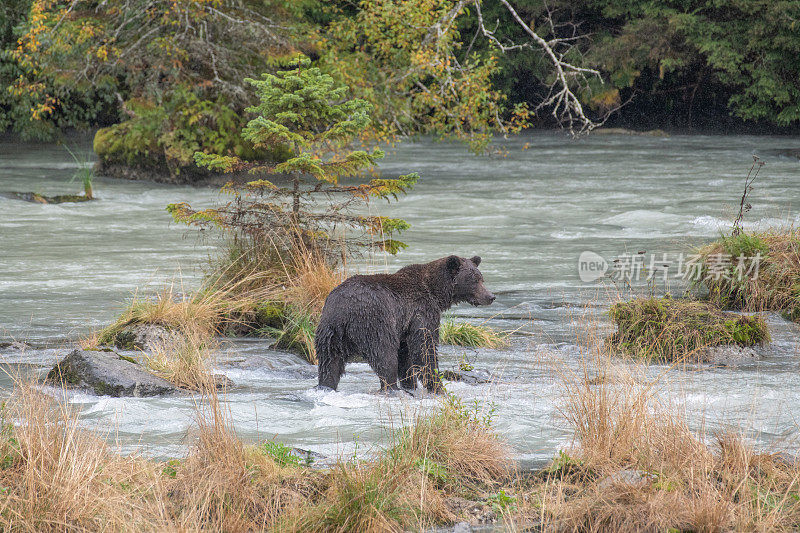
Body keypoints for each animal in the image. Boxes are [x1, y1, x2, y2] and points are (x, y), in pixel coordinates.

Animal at [318, 256, 494, 392]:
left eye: (481, 278)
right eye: (474, 280)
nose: (491, 296)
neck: (435, 292)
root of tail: (345, 311)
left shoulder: (404, 326)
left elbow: (406, 354)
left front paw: (411, 384)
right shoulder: (421, 311)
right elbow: (424, 348)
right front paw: (437, 387)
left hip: (329, 330)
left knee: (329, 363)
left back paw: (326, 386)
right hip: (375, 323)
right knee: (385, 356)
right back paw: (391, 388)